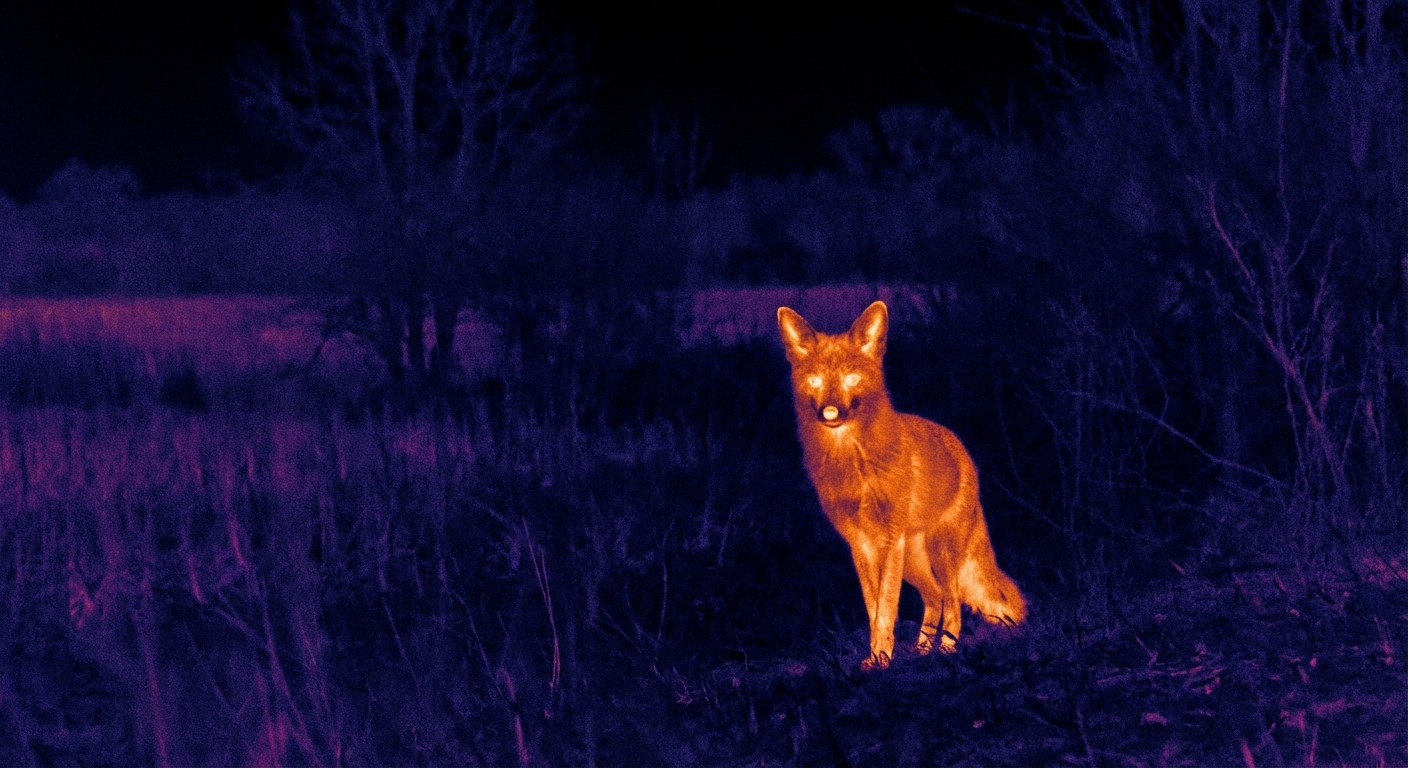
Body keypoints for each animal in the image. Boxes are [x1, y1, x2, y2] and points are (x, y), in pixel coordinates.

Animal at [777, 300, 1026, 670]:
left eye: (852, 379)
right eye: (815, 380)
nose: (830, 412)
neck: (855, 469)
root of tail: (962, 450)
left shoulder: (888, 541)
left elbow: (886, 609)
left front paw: (882, 658)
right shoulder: (861, 546)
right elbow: (874, 609)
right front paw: (876, 657)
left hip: (940, 554)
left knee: (952, 605)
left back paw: (946, 651)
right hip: (915, 563)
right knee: (935, 599)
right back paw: (922, 650)